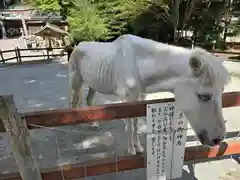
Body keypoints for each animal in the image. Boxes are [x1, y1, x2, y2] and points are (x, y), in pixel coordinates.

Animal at [68, 34, 231, 155]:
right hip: (76, 81)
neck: (138, 62)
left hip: (92, 84)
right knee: (74, 100)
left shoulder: (140, 96)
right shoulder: (127, 98)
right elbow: (130, 124)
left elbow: (136, 123)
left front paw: (138, 147)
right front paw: (131, 149)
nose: (218, 139)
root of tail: (77, 46)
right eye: (204, 96)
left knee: (89, 100)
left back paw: (94, 124)